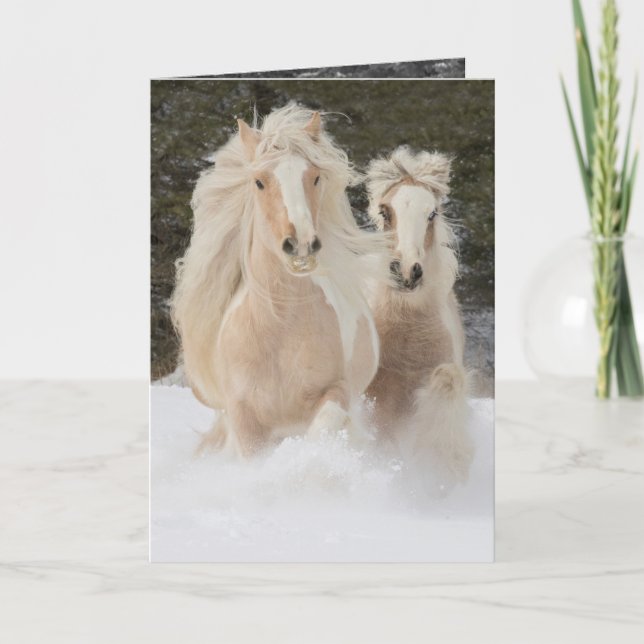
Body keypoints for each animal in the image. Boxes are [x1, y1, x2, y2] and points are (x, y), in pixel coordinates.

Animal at [171, 104, 384, 456]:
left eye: (315, 177)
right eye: (259, 182)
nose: (300, 244)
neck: (281, 329)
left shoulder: (335, 393)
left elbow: (321, 431)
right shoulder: (243, 418)